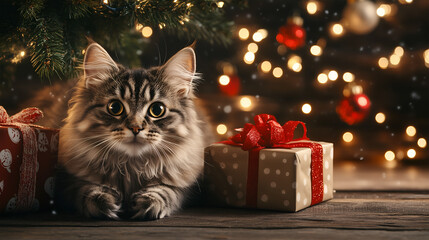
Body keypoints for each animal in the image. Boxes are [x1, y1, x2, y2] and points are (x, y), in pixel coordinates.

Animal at [55, 42, 212, 219]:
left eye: (157, 110)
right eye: (115, 107)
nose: (136, 127)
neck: (132, 168)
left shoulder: (186, 185)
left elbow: (166, 189)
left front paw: (149, 202)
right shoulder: (67, 180)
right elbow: (86, 188)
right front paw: (103, 201)